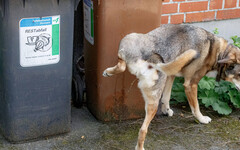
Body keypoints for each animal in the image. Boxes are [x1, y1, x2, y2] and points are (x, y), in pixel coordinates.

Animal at [101, 24, 240, 149]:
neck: (216, 50)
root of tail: (152, 59)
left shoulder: (170, 76)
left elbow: (166, 97)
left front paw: (166, 110)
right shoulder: (191, 85)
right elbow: (195, 107)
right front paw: (201, 119)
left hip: (130, 42)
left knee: (121, 65)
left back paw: (108, 72)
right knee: (143, 130)